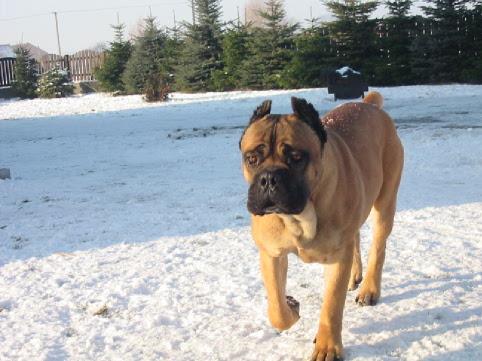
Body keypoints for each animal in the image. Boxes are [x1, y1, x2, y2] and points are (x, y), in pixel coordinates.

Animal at [240, 92, 402, 360]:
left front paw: (327, 347)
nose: (269, 178)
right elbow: (277, 307)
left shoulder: (337, 258)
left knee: (378, 248)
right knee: (356, 239)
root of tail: (370, 105)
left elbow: (332, 305)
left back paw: (368, 290)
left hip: (385, 201)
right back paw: (354, 277)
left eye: (296, 157)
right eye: (252, 159)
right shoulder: (272, 254)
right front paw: (291, 306)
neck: (301, 215)